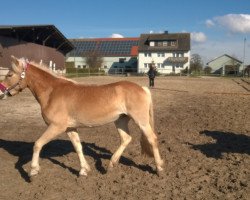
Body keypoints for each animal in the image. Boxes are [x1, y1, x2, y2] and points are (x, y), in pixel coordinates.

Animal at [0, 55, 164, 177]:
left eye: (9, 74)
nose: (1, 92)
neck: (52, 92)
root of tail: (142, 88)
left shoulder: (56, 127)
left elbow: (38, 144)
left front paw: (33, 170)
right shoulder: (70, 128)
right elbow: (78, 147)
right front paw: (84, 170)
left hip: (141, 121)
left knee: (152, 139)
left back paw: (159, 169)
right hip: (120, 120)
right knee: (126, 139)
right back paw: (111, 164)